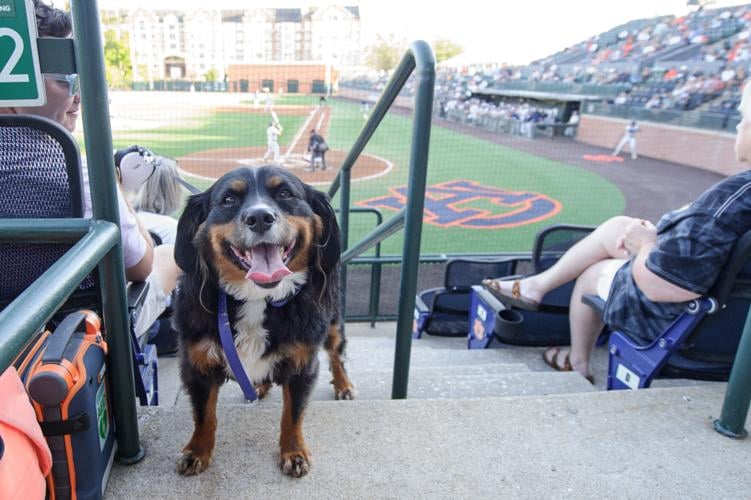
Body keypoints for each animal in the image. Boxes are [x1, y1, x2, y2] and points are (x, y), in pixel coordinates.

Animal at [173, 167, 356, 476]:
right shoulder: (197, 363)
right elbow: (203, 414)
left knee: (336, 354)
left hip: (332, 322)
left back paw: (343, 385)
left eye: (285, 193)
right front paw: (197, 451)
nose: (259, 217)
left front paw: (294, 452)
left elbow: (292, 414)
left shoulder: (302, 362)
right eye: (229, 199)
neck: (257, 298)